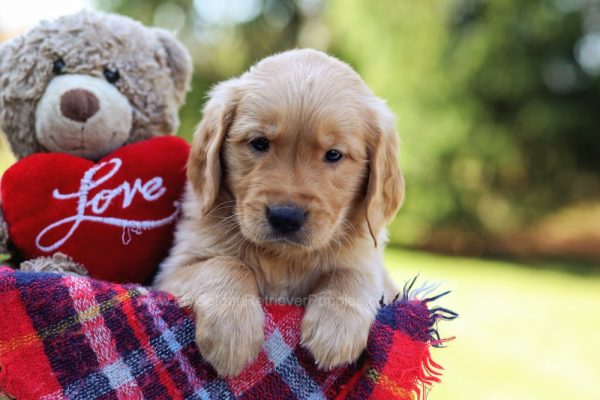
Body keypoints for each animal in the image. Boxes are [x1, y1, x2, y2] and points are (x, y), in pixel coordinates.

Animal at [155, 48, 406, 376]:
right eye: (259, 142)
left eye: (334, 154)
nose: (286, 217)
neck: (283, 258)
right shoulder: (172, 271)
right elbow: (225, 264)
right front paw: (233, 332)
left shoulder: (370, 266)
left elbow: (352, 275)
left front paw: (336, 329)